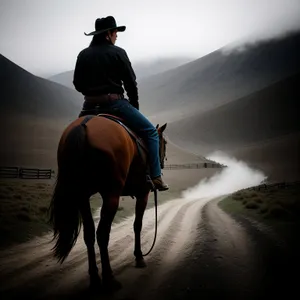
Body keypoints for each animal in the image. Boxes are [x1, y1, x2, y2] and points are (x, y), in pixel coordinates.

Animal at [48, 113, 168, 290]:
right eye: (164, 143)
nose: (163, 162)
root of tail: (84, 125)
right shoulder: (143, 194)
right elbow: (137, 225)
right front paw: (139, 257)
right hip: (111, 195)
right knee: (102, 234)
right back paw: (109, 278)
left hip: (81, 196)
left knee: (89, 234)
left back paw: (94, 279)